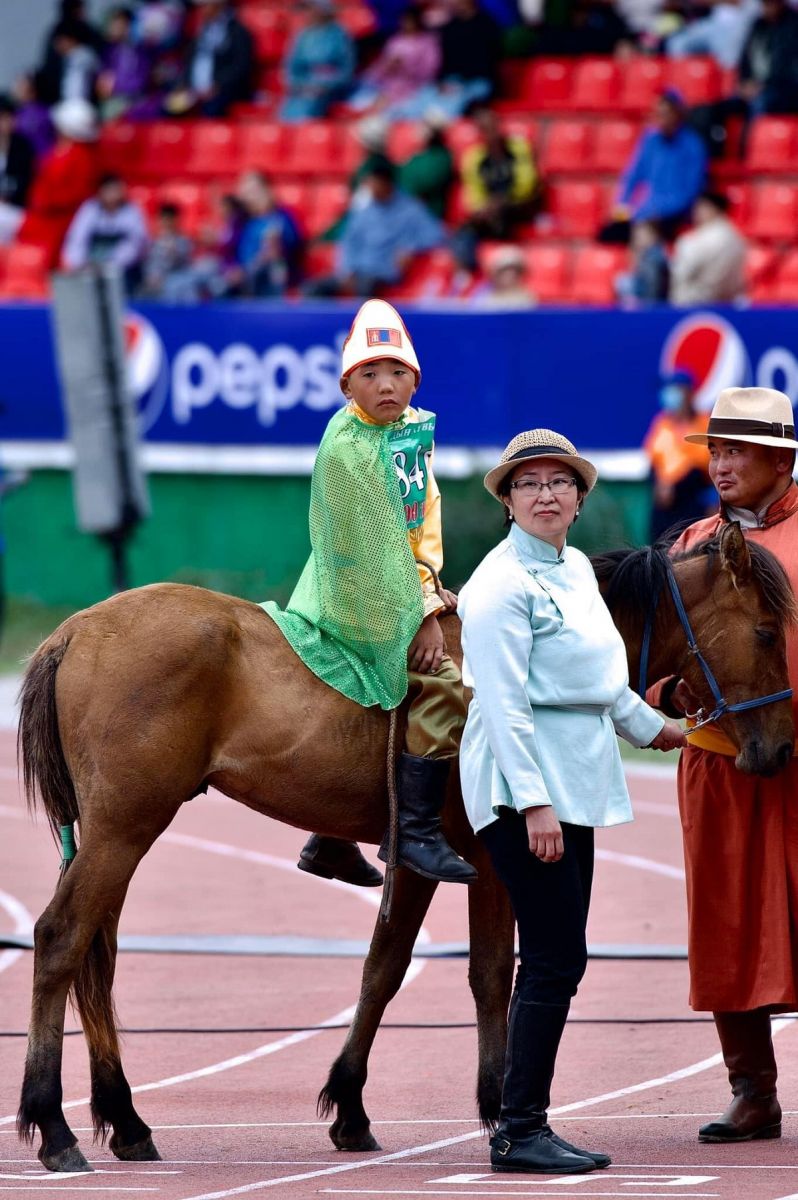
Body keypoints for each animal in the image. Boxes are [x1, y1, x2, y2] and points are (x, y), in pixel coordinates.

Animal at [15, 518, 792, 1171]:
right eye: (764, 633)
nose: (780, 748)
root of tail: (74, 631)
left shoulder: (423, 863)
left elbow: (383, 970)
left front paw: (352, 1108)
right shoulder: (487, 859)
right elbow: (488, 975)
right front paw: (500, 1111)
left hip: (115, 832)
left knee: (97, 959)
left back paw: (126, 1120)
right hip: (125, 826)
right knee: (60, 939)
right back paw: (53, 1125)